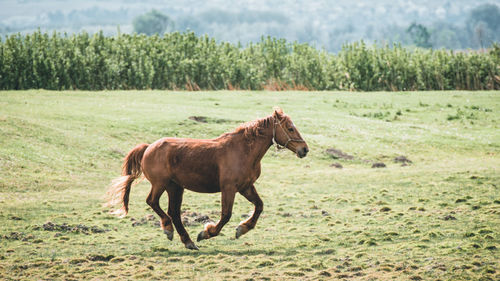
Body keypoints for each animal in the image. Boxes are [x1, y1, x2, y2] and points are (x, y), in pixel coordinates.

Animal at [107, 107, 306, 249]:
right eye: (290, 128)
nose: (304, 149)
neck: (242, 151)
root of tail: (148, 147)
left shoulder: (246, 187)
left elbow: (259, 206)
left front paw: (242, 229)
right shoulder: (229, 188)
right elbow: (226, 215)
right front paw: (207, 233)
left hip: (175, 187)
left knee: (174, 212)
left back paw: (188, 241)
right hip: (160, 184)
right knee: (153, 202)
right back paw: (168, 229)